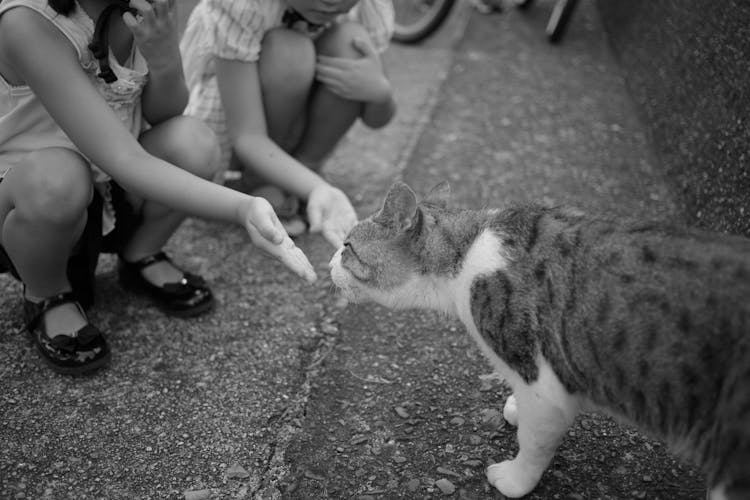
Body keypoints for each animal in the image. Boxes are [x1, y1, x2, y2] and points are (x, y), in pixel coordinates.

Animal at [332, 182, 750, 498]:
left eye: (348, 246)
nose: (329, 263)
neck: (466, 254)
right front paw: (515, 407)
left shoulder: (544, 384)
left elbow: (534, 443)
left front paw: (514, 480)